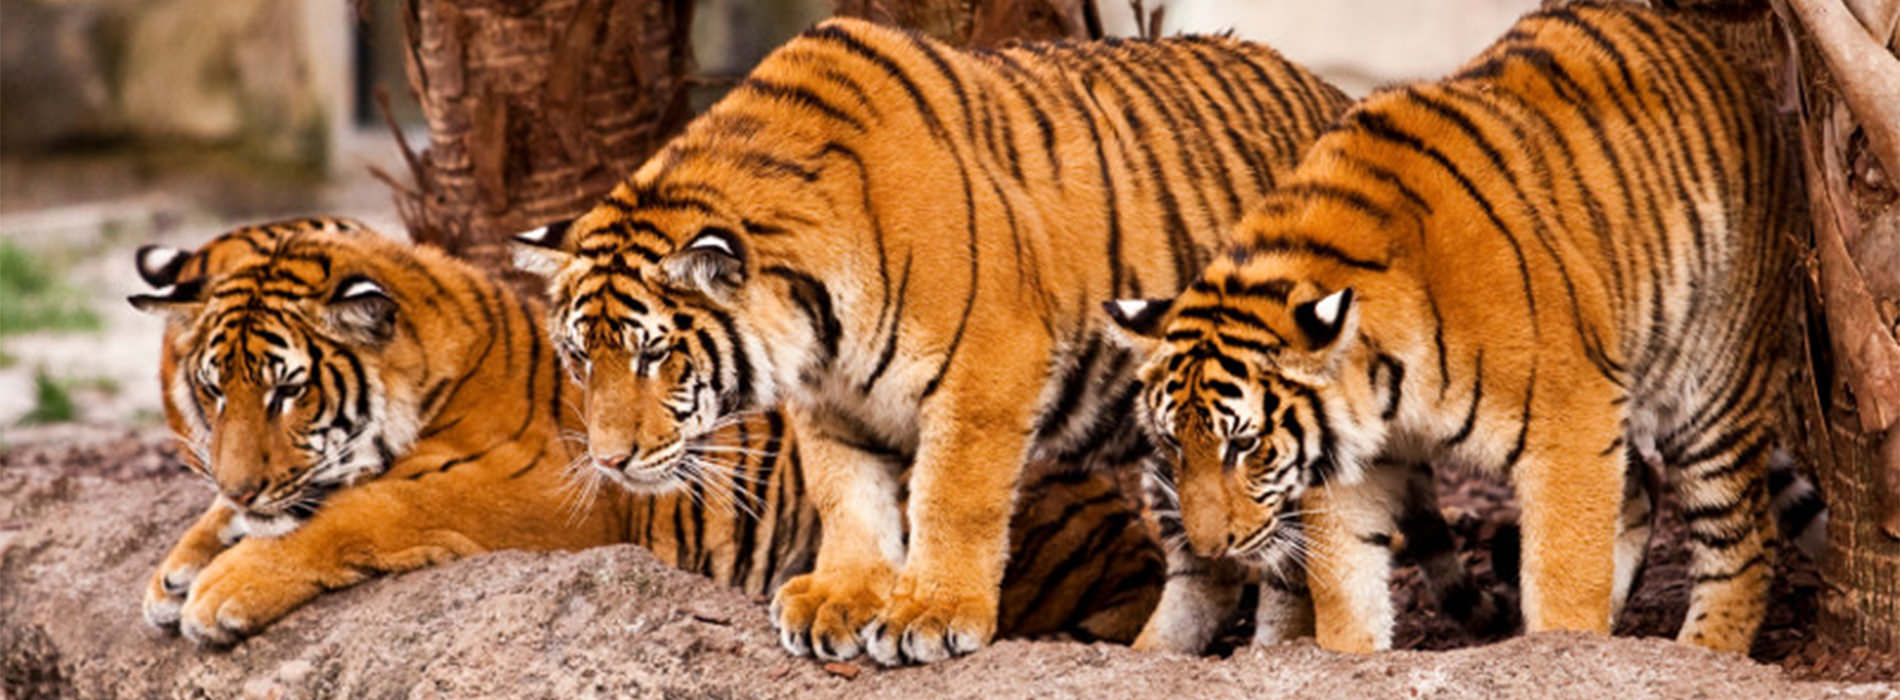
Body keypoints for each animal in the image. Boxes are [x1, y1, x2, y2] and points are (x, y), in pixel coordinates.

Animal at [133, 218, 1170, 646]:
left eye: (285, 391)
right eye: (211, 391)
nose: (240, 484)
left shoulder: (543, 500)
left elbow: (358, 517)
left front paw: (220, 589)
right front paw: (178, 567)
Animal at [509, 16, 1361, 665]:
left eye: (654, 354)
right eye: (582, 356)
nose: (609, 462)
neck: (817, 316)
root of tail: (1336, 94)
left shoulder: (988, 373)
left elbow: (953, 498)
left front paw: (932, 613)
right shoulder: (830, 402)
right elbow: (848, 495)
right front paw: (842, 599)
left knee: (1289, 548)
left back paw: (1285, 653)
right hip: (1176, 442)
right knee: (1206, 562)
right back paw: (1154, 657)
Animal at [1105, 1, 1804, 654]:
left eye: (1244, 446)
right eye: (1172, 446)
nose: (1212, 548)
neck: (1383, 384)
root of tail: (1724, 55)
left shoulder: (1572, 423)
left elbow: (1566, 568)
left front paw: (1563, 641)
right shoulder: (1347, 466)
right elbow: (1347, 586)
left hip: (1712, 387)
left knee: (1745, 539)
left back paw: (1704, 649)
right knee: (1639, 498)